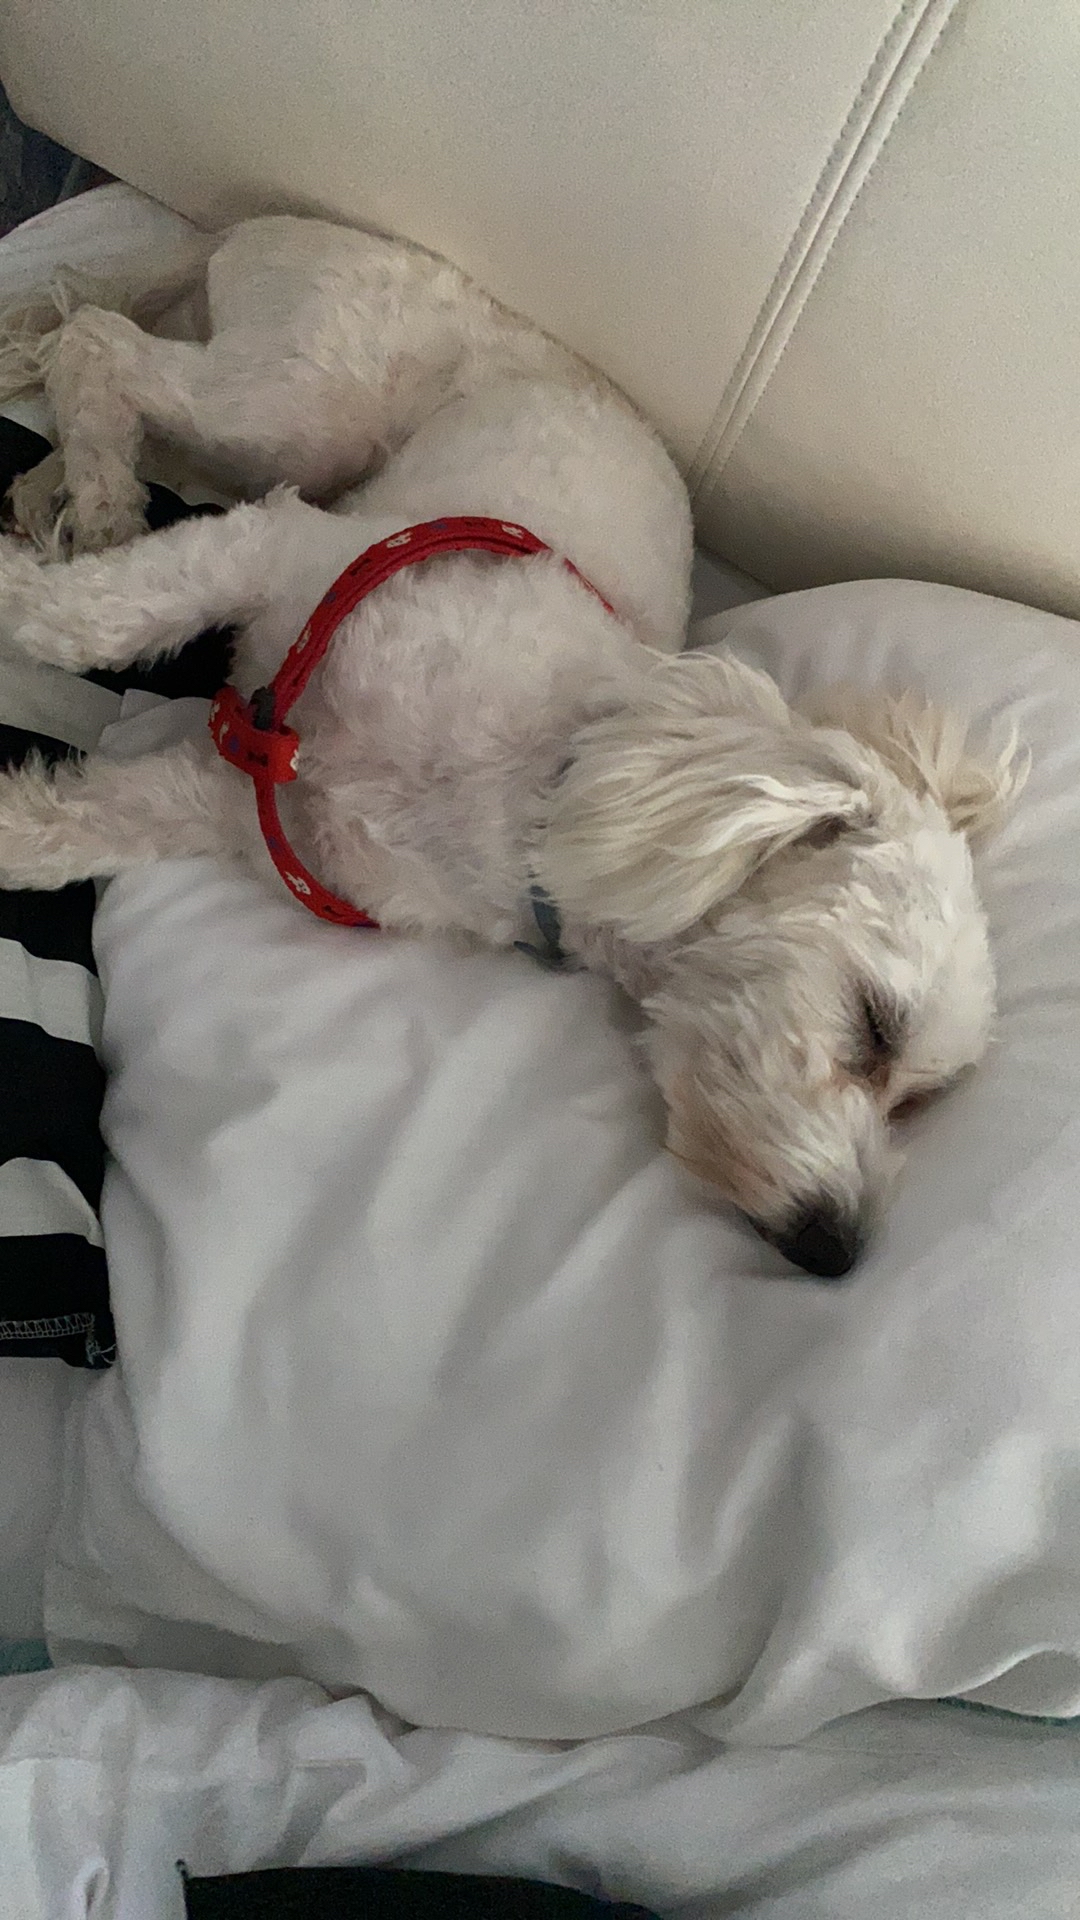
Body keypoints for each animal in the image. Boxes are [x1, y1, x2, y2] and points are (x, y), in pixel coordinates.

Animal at [0, 215, 1023, 1277]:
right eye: (874, 1026)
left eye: (917, 1095)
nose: (835, 1249)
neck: (533, 790)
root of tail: (260, 225)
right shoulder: (287, 555)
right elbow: (86, 619)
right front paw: (17, 598)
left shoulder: (258, 807)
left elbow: (81, 823)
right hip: (296, 406)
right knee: (101, 346)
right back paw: (104, 495)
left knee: (95, 355)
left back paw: (60, 487)